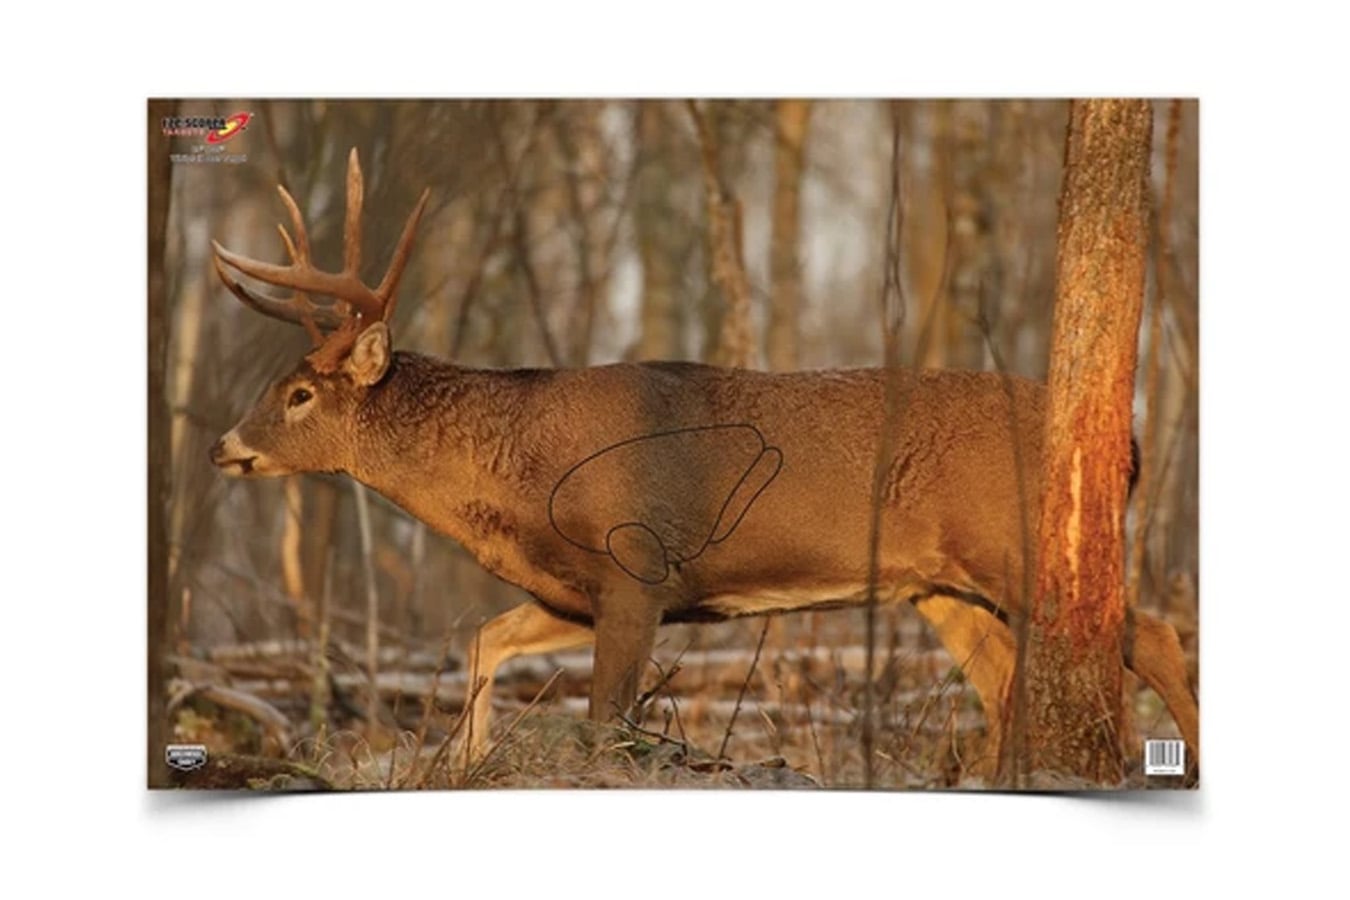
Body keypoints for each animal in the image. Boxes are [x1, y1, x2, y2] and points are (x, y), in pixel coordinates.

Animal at [208, 148, 1199, 778]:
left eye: (300, 393)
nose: (223, 446)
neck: (517, 477)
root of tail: (1129, 439)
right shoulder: (576, 590)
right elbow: (486, 640)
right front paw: (470, 760)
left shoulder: (637, 569)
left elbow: (607, 724)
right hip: (938, 585)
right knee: (1003, 681)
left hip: (1016, 547)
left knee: (1151, 636)